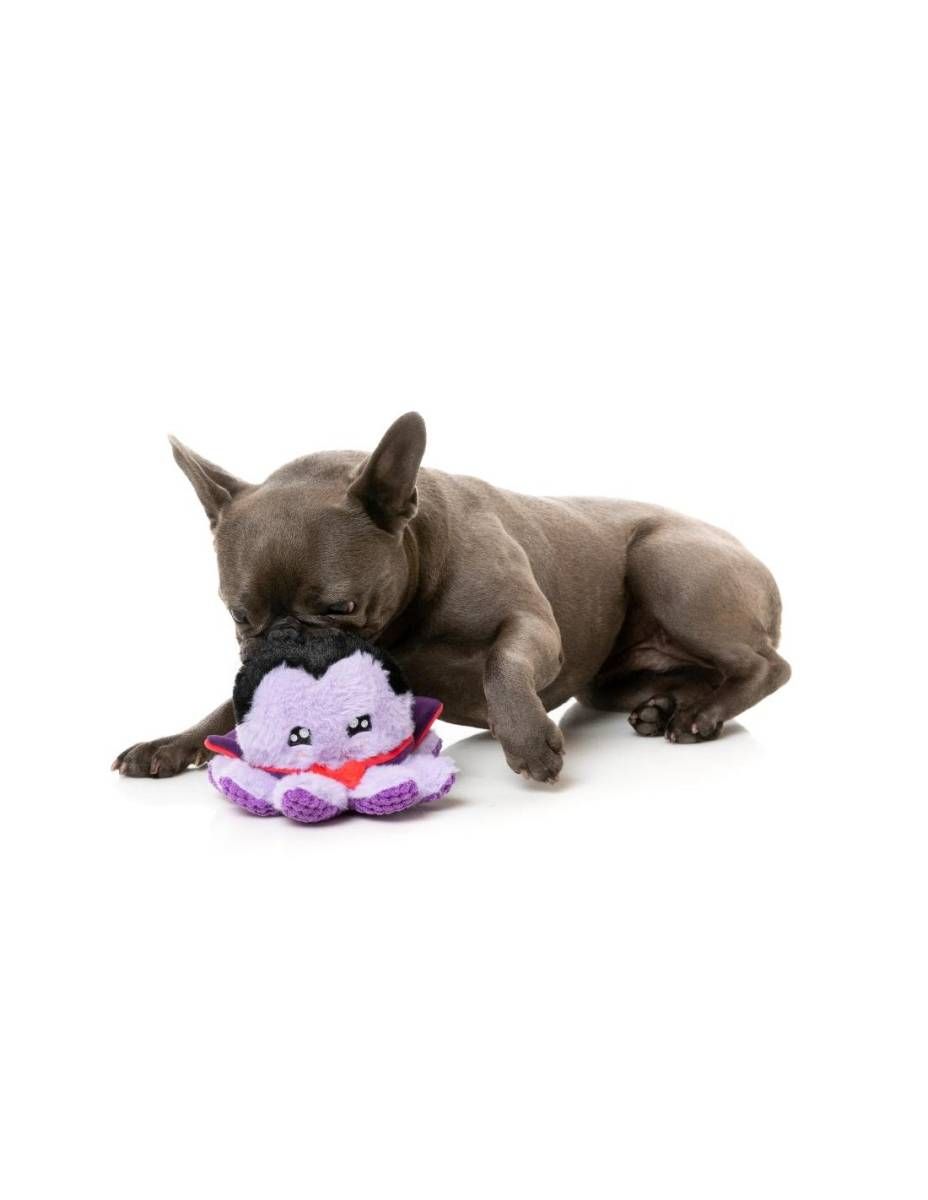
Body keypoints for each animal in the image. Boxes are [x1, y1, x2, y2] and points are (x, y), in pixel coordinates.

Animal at [113, 412, 789, 782]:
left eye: (340, 608)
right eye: (238, 616)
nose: (284, 643)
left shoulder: (532, 625)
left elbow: (501, 663)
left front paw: (527, 738)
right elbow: (223, 712)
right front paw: (169, 745)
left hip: (667, 565)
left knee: (767, 666)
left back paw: (701, 714)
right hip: (610, 679)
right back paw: (666, 704)